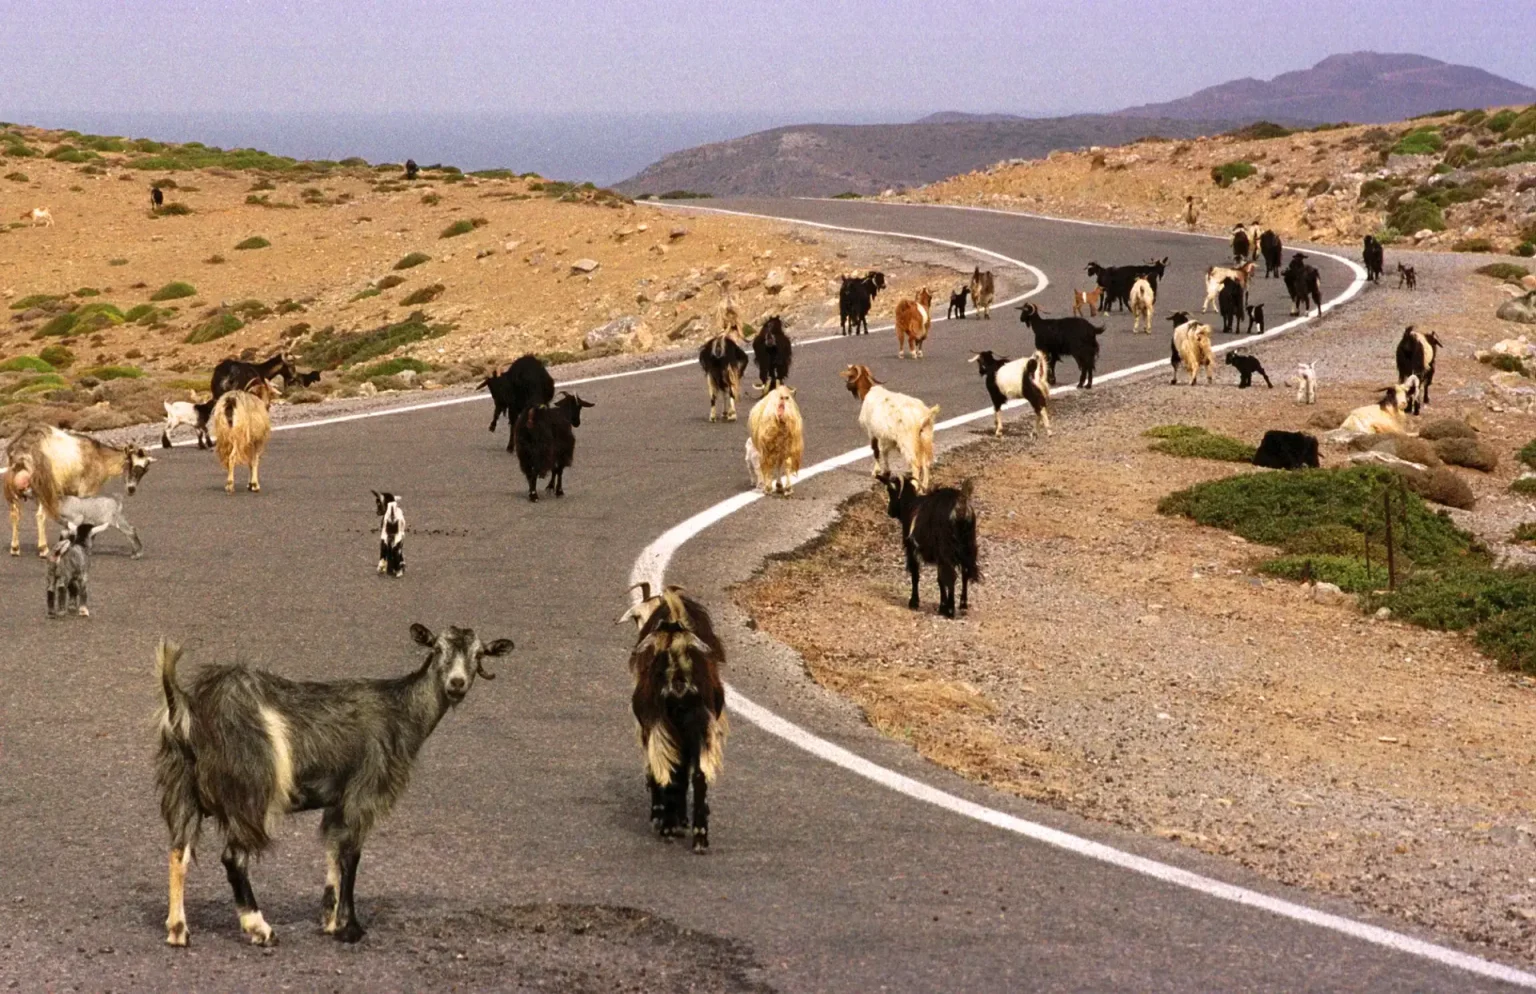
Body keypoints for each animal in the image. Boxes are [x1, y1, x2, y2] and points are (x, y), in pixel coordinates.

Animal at [4, 420, 154, 556]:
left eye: (145, 469)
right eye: (130, 463)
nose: (131, 489)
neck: (101, 458)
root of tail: (22, 448)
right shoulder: (87, 489)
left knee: (14, 514)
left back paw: (15, 548)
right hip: (44, 485)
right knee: (40, 515)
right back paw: (43, 549)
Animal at [156, 620, 516, 946]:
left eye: (478, 654)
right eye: (438, 649)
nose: (456, 683)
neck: (401, 712)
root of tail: (187, 710)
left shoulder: (338, 799)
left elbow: (332, 848)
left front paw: (329, 918)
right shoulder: (365, 790)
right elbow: (352, 854)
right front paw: (350, 927)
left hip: (183, 788)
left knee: (179, 851)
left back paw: (178, 930)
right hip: (250, 789)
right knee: (233, 857)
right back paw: (260, 928)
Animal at [617, 583, 724, 854]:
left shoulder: (649, 728)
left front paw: (664, 818)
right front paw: (681, 820)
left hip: (663, 725)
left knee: (668, 770)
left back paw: (667, 826)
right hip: (698, 726)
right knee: (698, 775)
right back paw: (699, 836)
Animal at [841, 365, 933, 494]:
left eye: (850, 375)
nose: (847, 386)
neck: (868, 392)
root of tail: (922, 416)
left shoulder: (872, 432)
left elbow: (876, 450)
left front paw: (875, 472)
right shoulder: (885, 437)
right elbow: (884, 452)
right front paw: (886, 472)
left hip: (908, 441)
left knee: (916, 464)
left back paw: (915, 486)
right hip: (925, 438)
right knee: (926, 463)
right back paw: (923, 488)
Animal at [884, 473, 976, 617]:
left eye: (890, 490)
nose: (890, 511)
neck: (910, 505)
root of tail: (960, 507)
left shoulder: (911, 548)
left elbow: (916, 574)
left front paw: (914, 602)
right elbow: (940, 579)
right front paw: (942, 605)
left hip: (947, 548)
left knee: (952, 576)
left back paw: (951, 610)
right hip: (968, 545)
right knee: (965, 573)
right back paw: (963, 605)